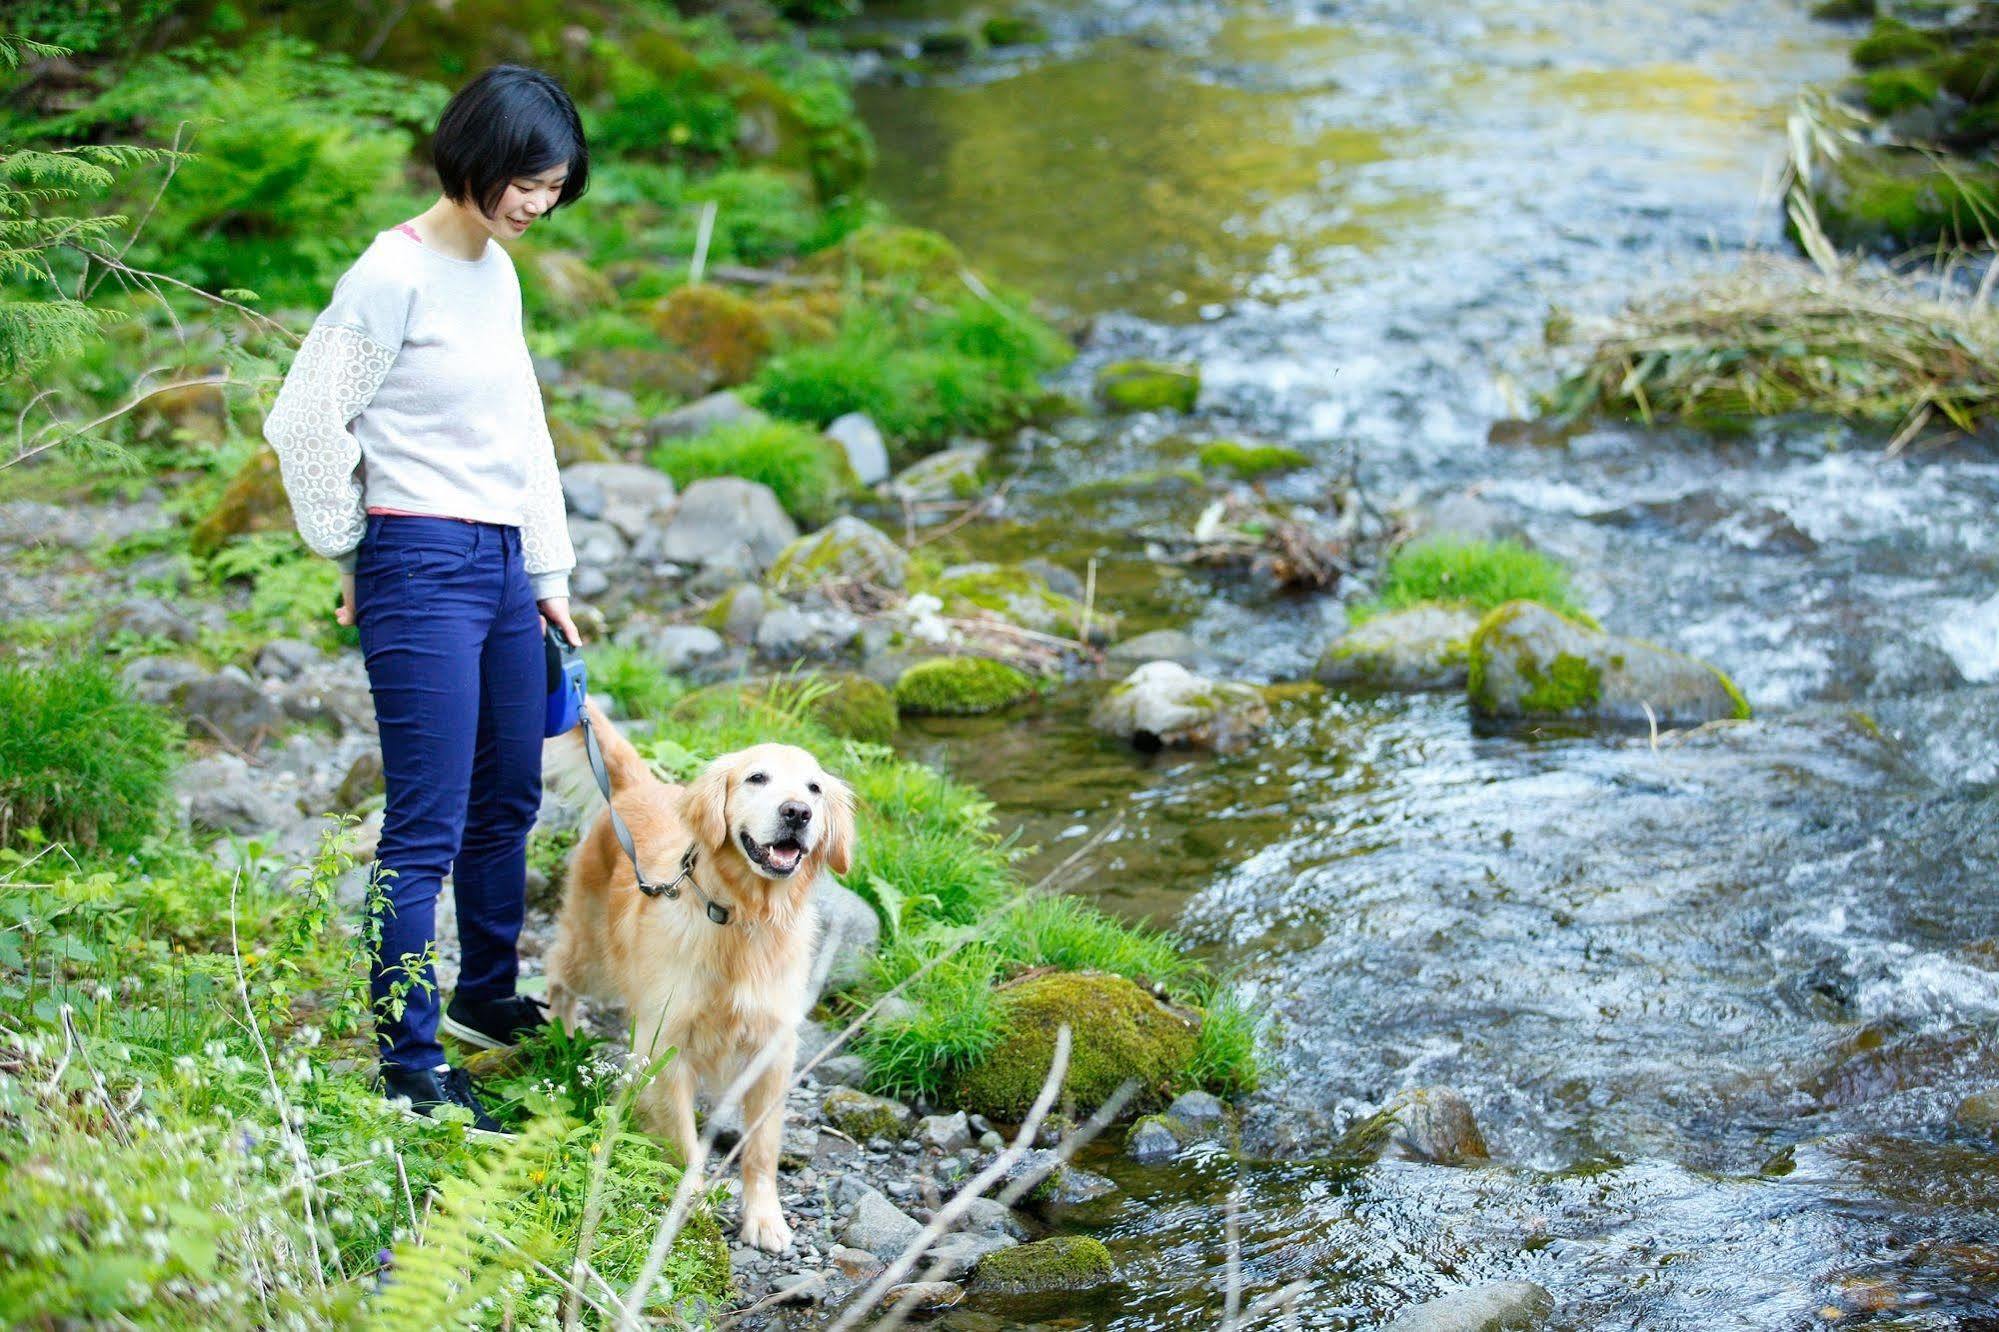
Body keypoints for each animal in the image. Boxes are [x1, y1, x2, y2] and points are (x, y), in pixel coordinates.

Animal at [547, 700, 851, 1248]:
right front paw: (692, 1208)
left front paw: (765, 1217)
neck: (745, 916)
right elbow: (685, 1146)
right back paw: (561, 1037)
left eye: (814, 788)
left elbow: (761, 1149)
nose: (797, 812)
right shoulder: (666, 1046)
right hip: (592, 957)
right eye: (756, 777)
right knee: (557, 976)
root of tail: (637, 787)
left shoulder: (772, 1052)